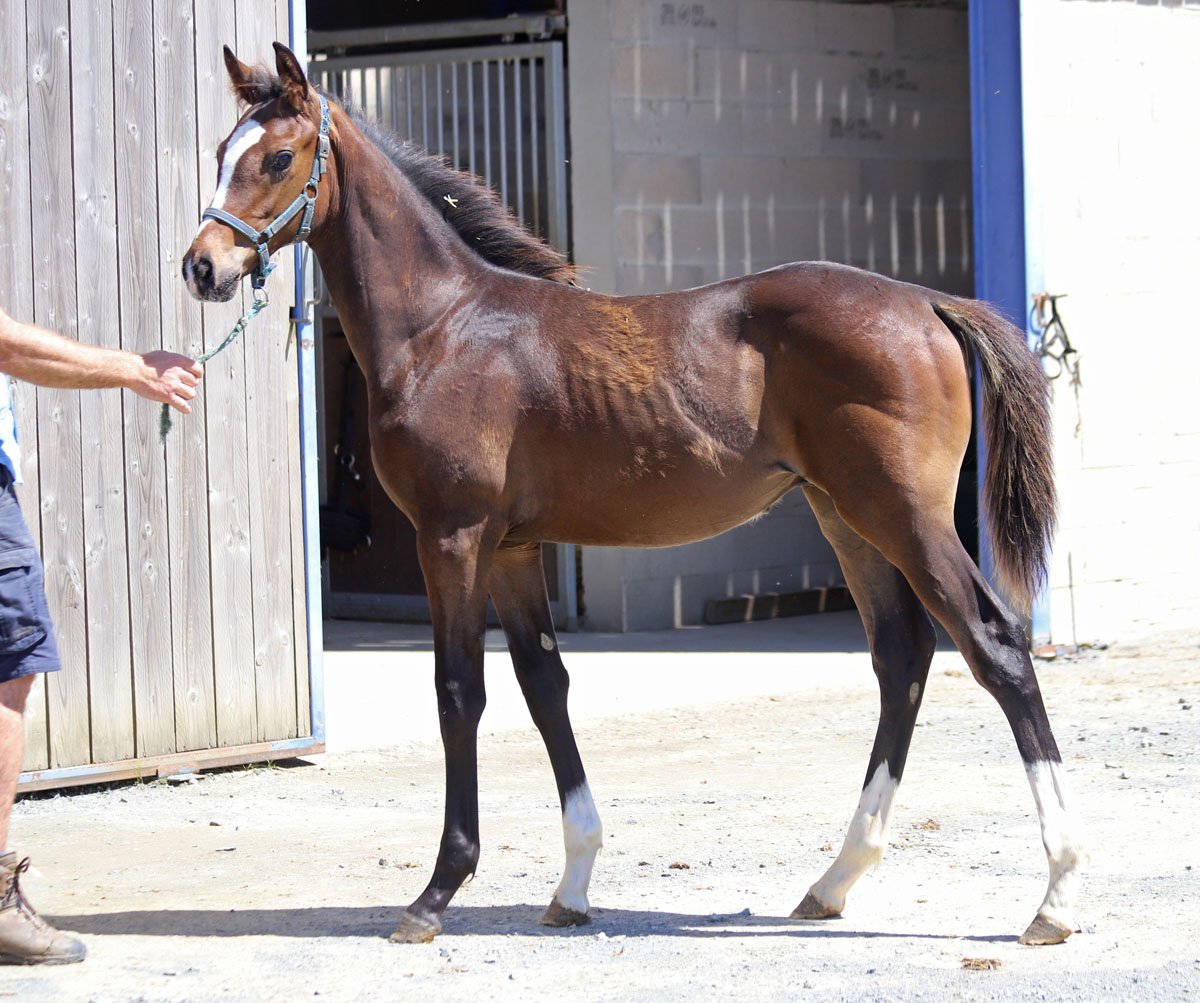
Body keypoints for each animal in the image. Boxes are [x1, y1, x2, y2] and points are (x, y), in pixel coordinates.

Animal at [183, 43, 1084, 947]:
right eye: (222, 149)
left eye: (278, 157)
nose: (201, 267)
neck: (444, 327)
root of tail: (929, 301)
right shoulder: (512, 549)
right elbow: (544, 686)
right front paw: (573, 884)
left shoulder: (453, 537)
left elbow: (459, 693)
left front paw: (436, 892)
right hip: (847, 517)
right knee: (902, 656)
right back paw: (833, 881)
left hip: (906, 517)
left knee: (997, 646)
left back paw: (1055, 894)